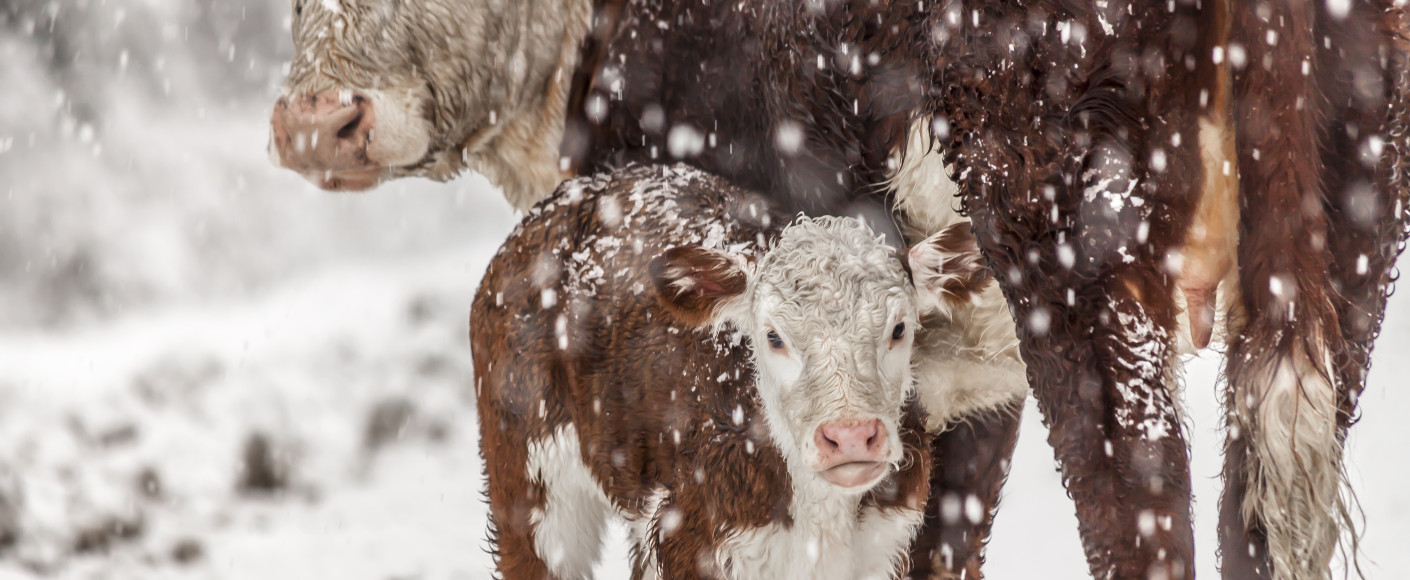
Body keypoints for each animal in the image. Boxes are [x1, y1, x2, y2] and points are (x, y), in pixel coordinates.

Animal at [473, 163, 1015, 580]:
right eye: (773, 336)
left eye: (900, 328)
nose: (850, 436)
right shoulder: (687, 539)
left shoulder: (886, 543)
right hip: (528, 475)